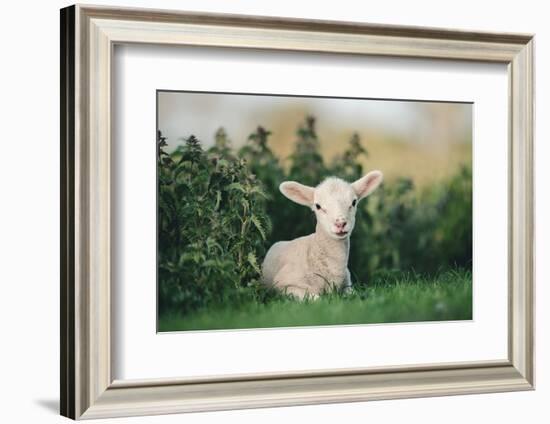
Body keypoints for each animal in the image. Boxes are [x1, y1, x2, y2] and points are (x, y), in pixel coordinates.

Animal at [264, 171, 384, 300]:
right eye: (318, 206)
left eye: (354, 202)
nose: (340, 223)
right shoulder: (284, 285)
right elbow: (317, 299)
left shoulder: (347, 285)